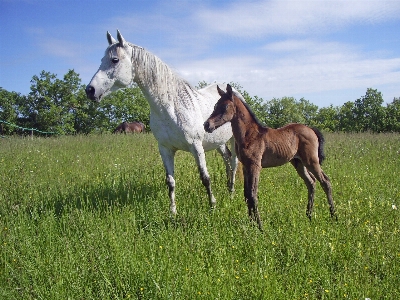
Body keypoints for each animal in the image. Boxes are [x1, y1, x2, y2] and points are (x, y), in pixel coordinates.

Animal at [86, 29, 242, 216]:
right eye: (102, 59)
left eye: (114, 60)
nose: (90, 90)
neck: (172, 107)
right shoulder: (165, 149)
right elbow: (170, 182)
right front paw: (172, 212)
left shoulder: (196, 146)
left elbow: (205, 177)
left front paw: (212, 206)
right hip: (219, 142)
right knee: (227, 160)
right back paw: (228, 188)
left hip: (233, 140)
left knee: (234, 162)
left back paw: (232, 193)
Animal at [205, 84, 336, 230]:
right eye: (215, 105)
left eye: (225, 106)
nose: (207, 125)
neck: (249, 134)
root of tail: (311, 129)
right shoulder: (246, 166)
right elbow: (246, 194)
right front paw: (251, 224)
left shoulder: (255, 165)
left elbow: (252, 194)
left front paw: (260, 227)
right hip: (298, 162)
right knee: (311, 182)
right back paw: (309, 215)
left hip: (311, 160)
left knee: (325, 181)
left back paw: (333, 216)